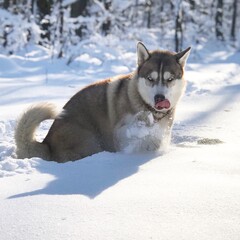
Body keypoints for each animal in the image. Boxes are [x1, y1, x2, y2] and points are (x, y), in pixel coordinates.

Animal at [15, 42, 191, 162]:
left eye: (170, 79)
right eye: (150, 79)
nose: (160, 98)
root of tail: (48, 144)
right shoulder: (120, 133)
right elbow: (133, 131)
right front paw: (142, 122)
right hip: (89, 139)